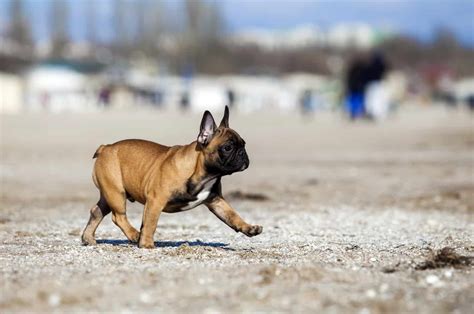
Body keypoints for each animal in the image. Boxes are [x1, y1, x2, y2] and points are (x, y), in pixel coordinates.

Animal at [80, 106, 260, 249]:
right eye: (227, 147)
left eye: (243, 144)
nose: (243, 154)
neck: (204, 174)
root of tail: (106, 148)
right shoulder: (156, 200)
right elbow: (150, 224)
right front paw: (146, 244)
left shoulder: (216, 201)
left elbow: (232, 215)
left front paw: (248, 228)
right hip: (116, 193)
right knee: (118, 216)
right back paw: (134, 235)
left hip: (109, 194)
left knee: (96, 211)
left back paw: (88, 238)